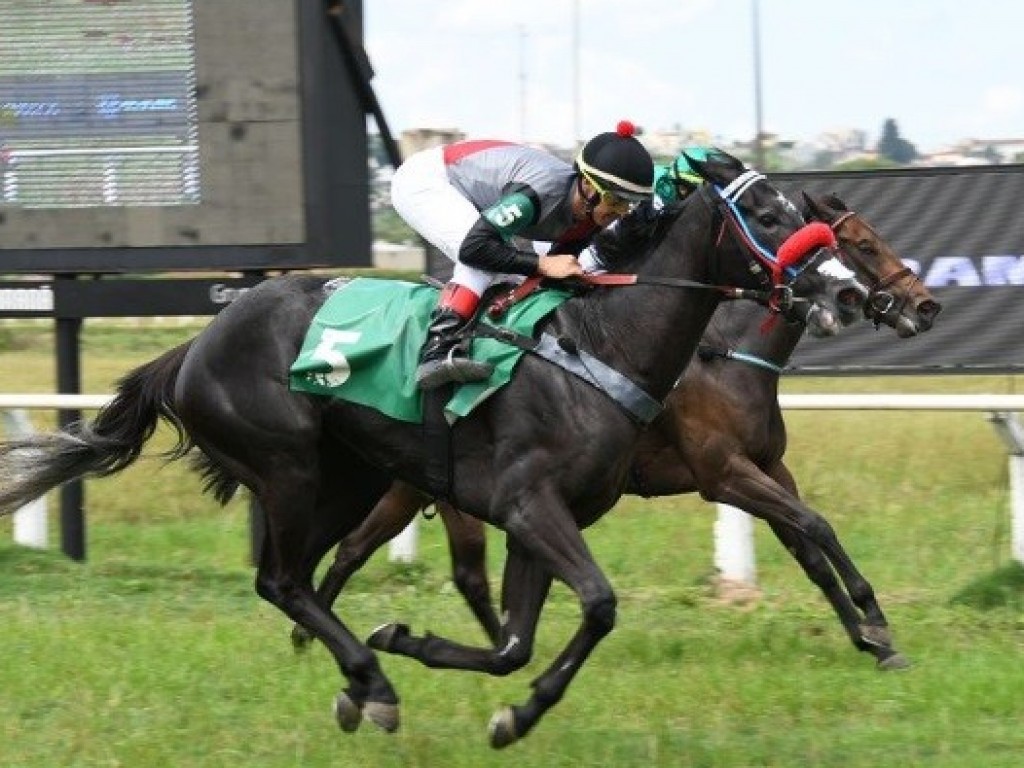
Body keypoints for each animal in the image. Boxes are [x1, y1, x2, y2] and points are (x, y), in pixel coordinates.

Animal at [0, 151, 864, 753]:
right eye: (763, 211)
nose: (841, 290)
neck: (599, 345)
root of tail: (194, 346)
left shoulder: (536, 520)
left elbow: (514, 644)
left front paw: (492, 698)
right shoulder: (530, 502)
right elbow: (597, 605)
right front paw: (433, 669)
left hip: (350, 478)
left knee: (307, 577)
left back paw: (359, 676)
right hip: (289, 468)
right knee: (283, 579)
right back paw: (371, 683)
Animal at [292, 193, 937, 671]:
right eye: (862, 244)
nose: (923, 304)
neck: (724, 356)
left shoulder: (769, 466)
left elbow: (809, 548)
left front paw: (871, 640)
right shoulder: (723, 474)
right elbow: (815, 526)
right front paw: (875, 624)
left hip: (421, 484)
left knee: (383, 553)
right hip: (431, 484)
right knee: (388, 555)